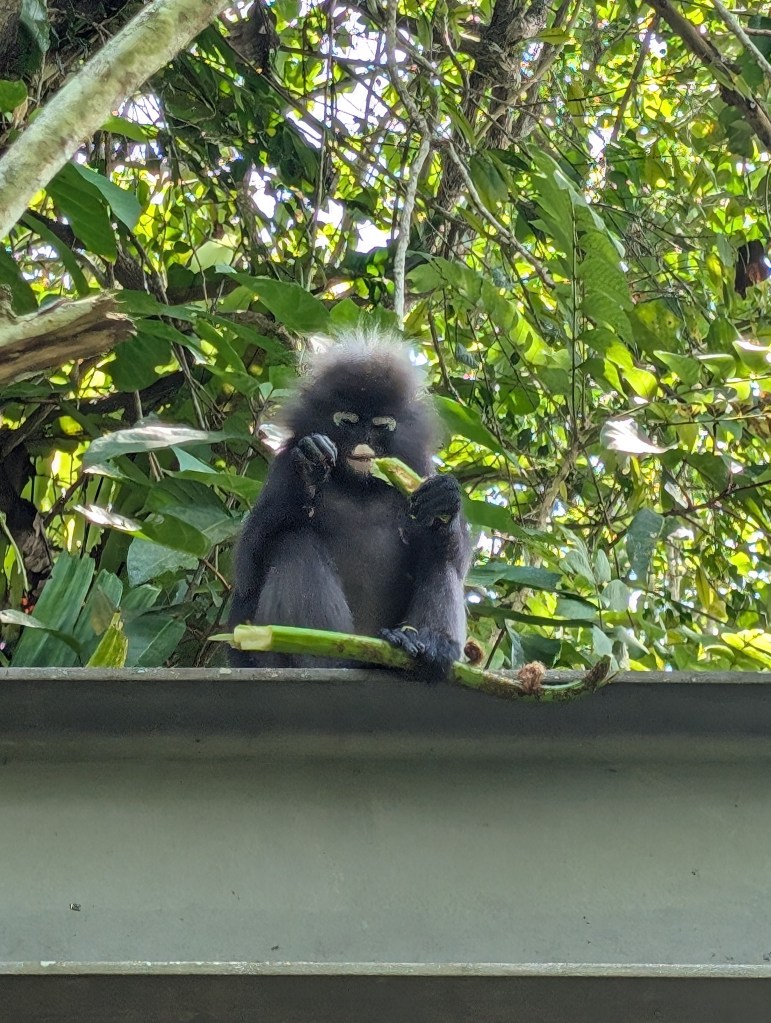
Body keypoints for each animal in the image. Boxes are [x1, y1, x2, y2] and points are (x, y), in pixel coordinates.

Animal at [228, 331, 471, 681]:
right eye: (348, 422)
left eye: (381, 426)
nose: (364, 442)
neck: (359, 487)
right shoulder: (284, 465)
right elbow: (248, 567)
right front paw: (310, 470)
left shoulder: (421, 467)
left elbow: (459, 561)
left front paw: (444, 499)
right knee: (294, 540)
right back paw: (322, 657)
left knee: (439, 556)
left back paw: (427, 647)